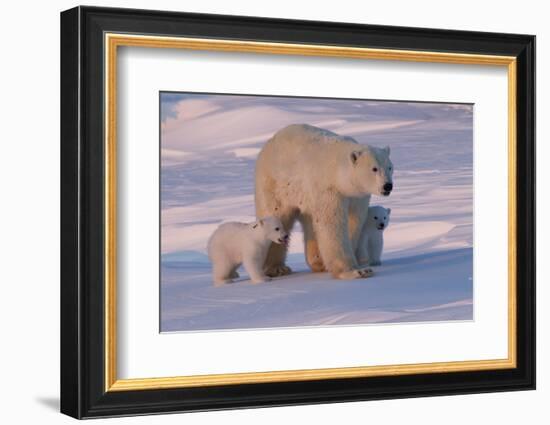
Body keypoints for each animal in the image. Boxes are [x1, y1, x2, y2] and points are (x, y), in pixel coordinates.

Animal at [256, 124, 394, 280]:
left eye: (390, 167)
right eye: (374, 169)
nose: (387, 186)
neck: (338, 173)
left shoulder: (357, 196)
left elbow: (353, 222)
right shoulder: (328, 189)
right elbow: (332, 224)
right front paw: (355, 271)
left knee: (310, 224)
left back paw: (318, 262)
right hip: (276, 185)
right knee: (276, 216)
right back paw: (277, 268)